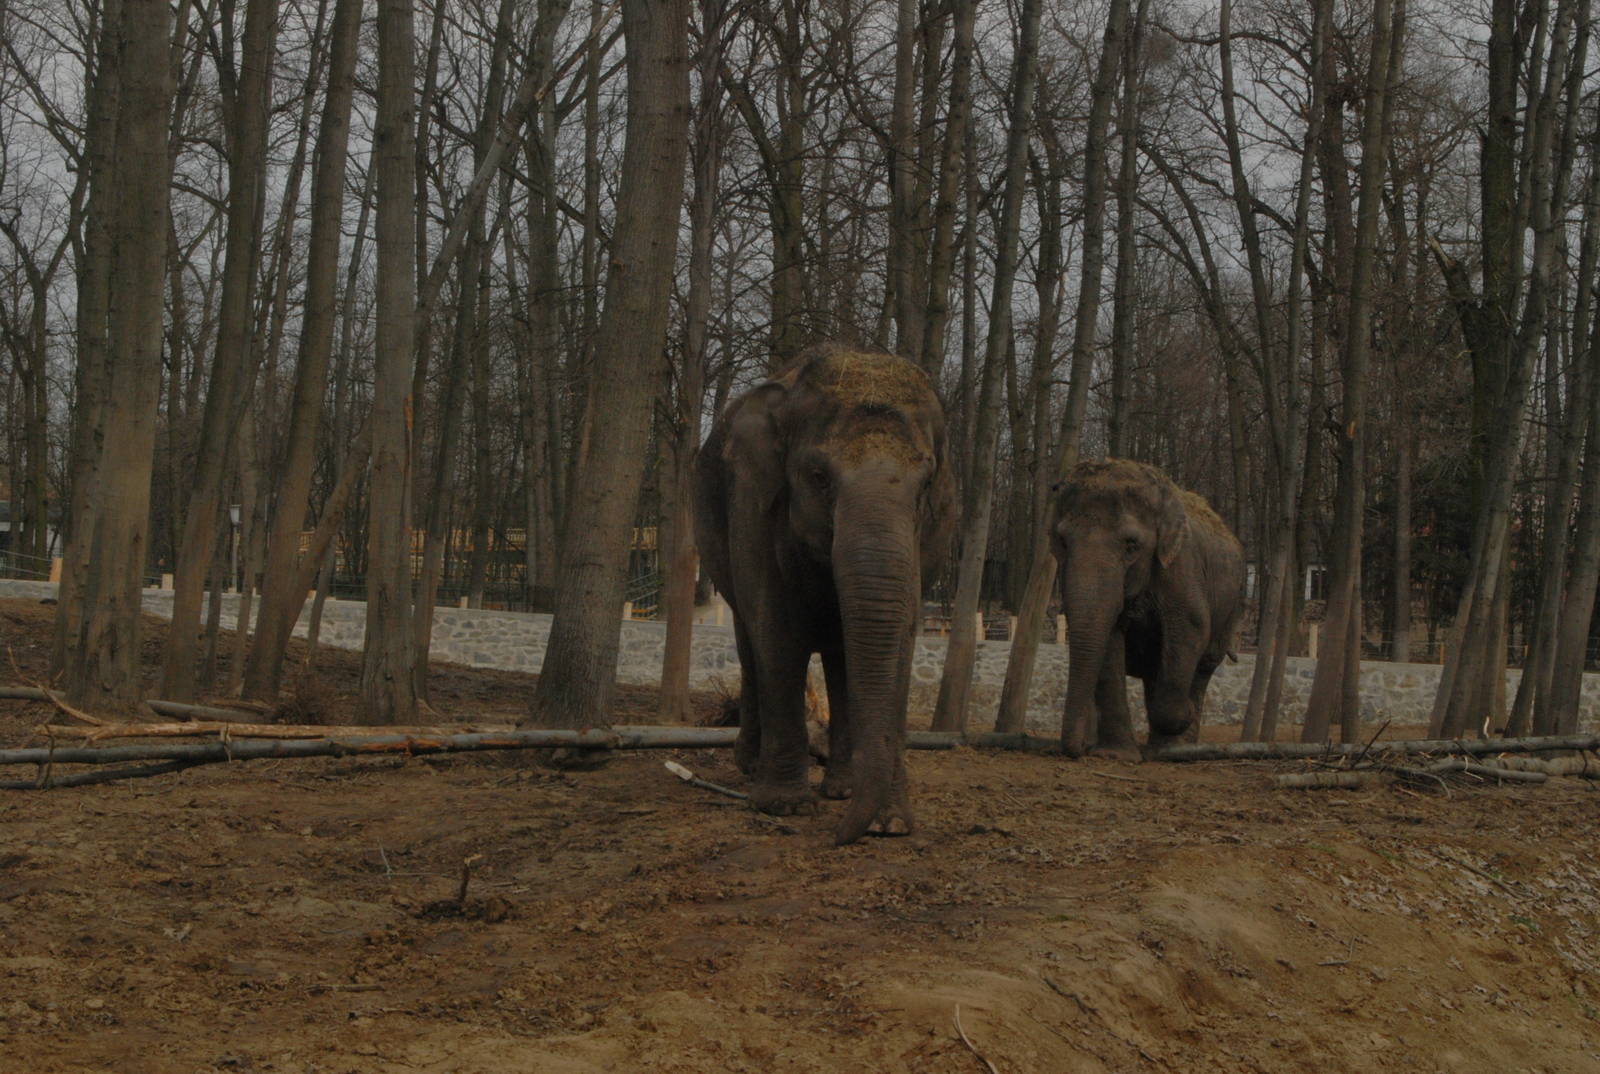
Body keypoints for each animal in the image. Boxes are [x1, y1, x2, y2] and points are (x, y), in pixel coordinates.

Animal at [694, 343, 957, 844]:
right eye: (819, 476)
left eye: (927, 484)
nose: (837, 836)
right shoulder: (753, 499)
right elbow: (775, 629)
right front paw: (786, 807)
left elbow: (902, 639)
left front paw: (891, 824)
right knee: (749, 637)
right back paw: (752, 767)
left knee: (839, 655)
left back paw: (841, 788)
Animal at [1051, 459, 1245, 758]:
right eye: (1062, 542)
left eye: (1131, 545)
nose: (1081, 748)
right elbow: (1109, 639)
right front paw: (1115, 755)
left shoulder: (1181, 565)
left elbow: (1191, 627)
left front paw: (1184, 715)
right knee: (1156, 669)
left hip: (1229, 608)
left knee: (1202, 666)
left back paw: (1178, 748)